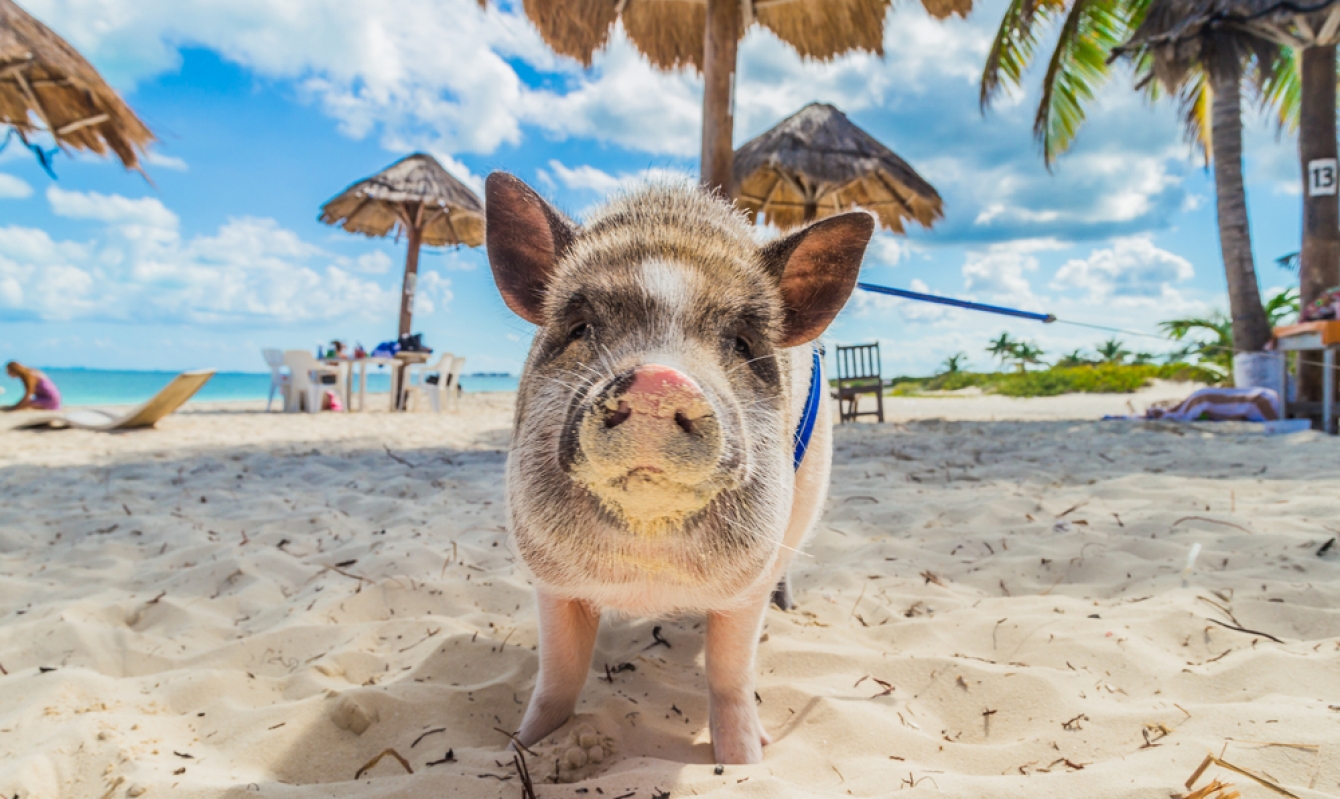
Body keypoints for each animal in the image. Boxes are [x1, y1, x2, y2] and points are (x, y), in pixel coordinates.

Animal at [484, 172, 873, 764]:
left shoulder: (749, 579)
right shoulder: (549, 577)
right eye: (579, 327)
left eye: (742, 342)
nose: (657, 379)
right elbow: (559, 673)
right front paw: (520, 746)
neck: (649, 578)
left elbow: (730, 672)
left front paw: (746, 762)